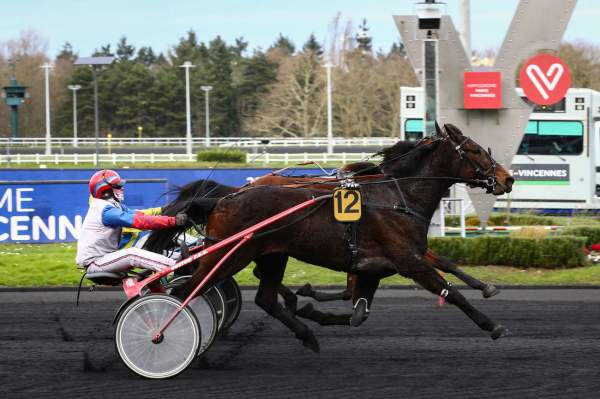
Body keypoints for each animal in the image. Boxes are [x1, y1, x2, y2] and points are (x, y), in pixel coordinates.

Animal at [170, 123, 516, 352]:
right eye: (474, 149)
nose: (507, 178)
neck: (397, 196)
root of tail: (224, 199)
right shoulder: (408, 261)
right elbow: (450, 291)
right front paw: (493, 325)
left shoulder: (373, 267)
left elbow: (358, 314)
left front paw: (313, 309)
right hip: (228, 254)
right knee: (185, 292)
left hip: (271, 255)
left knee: (264, 298)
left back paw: (306, 333)